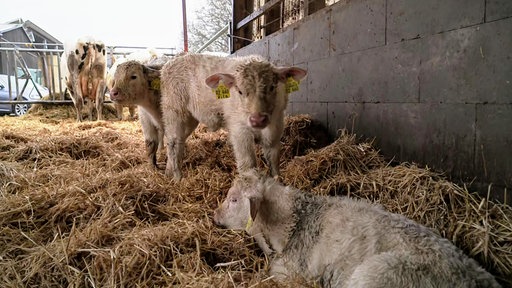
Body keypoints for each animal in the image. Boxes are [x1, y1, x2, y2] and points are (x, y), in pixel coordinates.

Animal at [160, 53, 306, 180]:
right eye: (240, 91)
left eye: (272, 87)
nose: (257, 119)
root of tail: (169, 63)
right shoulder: (239, 131)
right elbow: (248, 164)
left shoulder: (276, 128)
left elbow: (274, 163)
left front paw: (278, 181)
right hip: (174, 111)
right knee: (173, 144)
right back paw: (178, 178)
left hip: (188, 119)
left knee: (177, 141)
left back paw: (168, 173)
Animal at [214, 171, 502, 288]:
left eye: (235, 199)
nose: (215, 216)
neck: (296, 222)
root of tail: (477, 277)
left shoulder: (289, 271)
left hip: (379, 272)